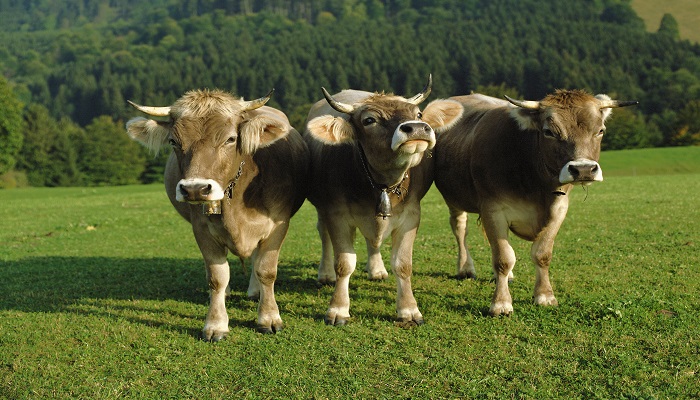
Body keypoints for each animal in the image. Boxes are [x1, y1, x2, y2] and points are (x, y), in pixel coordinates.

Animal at [125, 88, 308, 340]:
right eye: (173, 141)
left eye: (230, 139)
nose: (195, 189)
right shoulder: (202, 230)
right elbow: (217, 277)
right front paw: (216, 323)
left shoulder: (277, 225)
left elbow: (266, 271)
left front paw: (269, 317)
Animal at [304, 76, 464, 326]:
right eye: (369, 120)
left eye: (418, 114)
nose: (416, 128)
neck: (381, 184)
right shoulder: (336, 214)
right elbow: (344, 264)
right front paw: (338, 309)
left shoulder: (411, 215)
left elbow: (403, 264)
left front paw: (409, 309)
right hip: (321, 208)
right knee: (324, 234)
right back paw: (325, 273)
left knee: (373, 241)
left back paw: (377, 270)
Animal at [434, 90, 636, 316]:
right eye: (549, 132)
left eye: (600, 130)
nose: (583, 169)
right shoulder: (493, 210)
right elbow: (503, 258)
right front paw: (501, 304)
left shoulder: (559, 209)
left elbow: (542, 254)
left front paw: (545, 295)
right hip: (454, 199)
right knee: (460, 229)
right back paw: (465, 268)